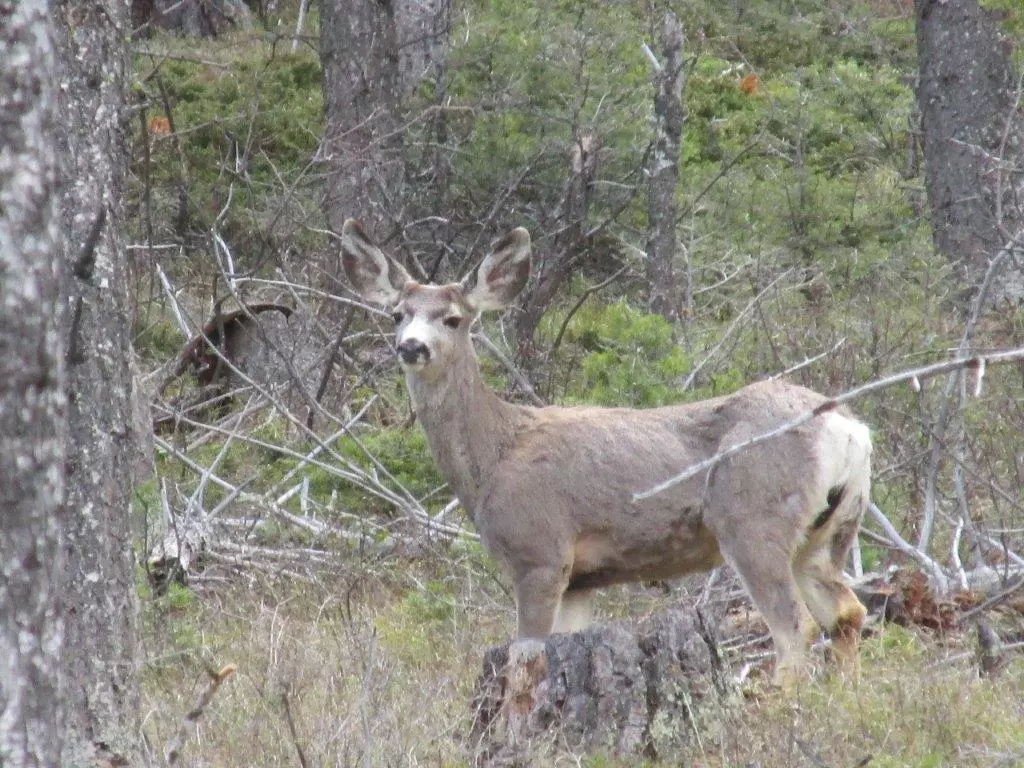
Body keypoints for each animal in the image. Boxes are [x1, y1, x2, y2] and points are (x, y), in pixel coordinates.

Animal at [344, 221, 872, 684]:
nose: (411, 347)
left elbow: (524, 661)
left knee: (796, 627)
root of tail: (848, 429)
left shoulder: (539, 551)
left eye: (453, 319)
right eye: (397, 315)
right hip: (830, 530)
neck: (493, 456)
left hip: (753, 518)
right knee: (846, 612)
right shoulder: (580, 579)